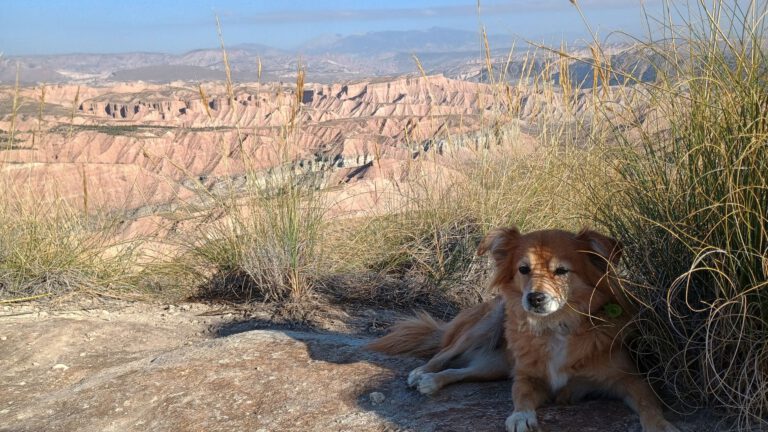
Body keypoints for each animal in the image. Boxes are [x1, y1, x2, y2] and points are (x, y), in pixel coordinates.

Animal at [368, 228, 676, 430]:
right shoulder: (528, 377)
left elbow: (649, 404)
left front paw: (660, 426)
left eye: (562, 271)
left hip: (493, 367)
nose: (535, 298)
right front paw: (521, 417)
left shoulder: (629, 379)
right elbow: (521, 394)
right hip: (488, 322)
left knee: (461, 372)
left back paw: (433, 382)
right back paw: (423, 373)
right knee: (444, 353)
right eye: (523, 269)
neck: (555, 328)